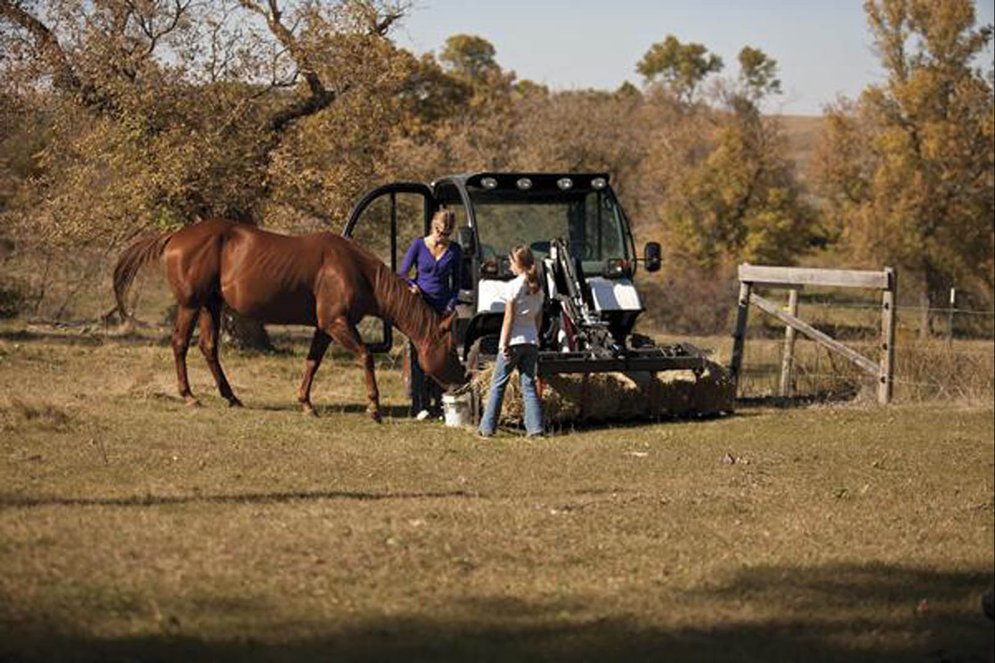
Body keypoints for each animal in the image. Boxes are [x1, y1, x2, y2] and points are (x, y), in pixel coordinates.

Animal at [111, 220, 468, 422]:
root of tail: (176, 236)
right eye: (452, 350)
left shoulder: (326, 327)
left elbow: (312, 363)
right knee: (180, 344)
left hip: (211, 306)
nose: (462, 381)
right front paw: (374, 408)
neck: (354, 269)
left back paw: (231, 397)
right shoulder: (337, 324)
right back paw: (189, 396)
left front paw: (306, 403)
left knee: (208, 347)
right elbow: (366, 356)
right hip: (190, 305)